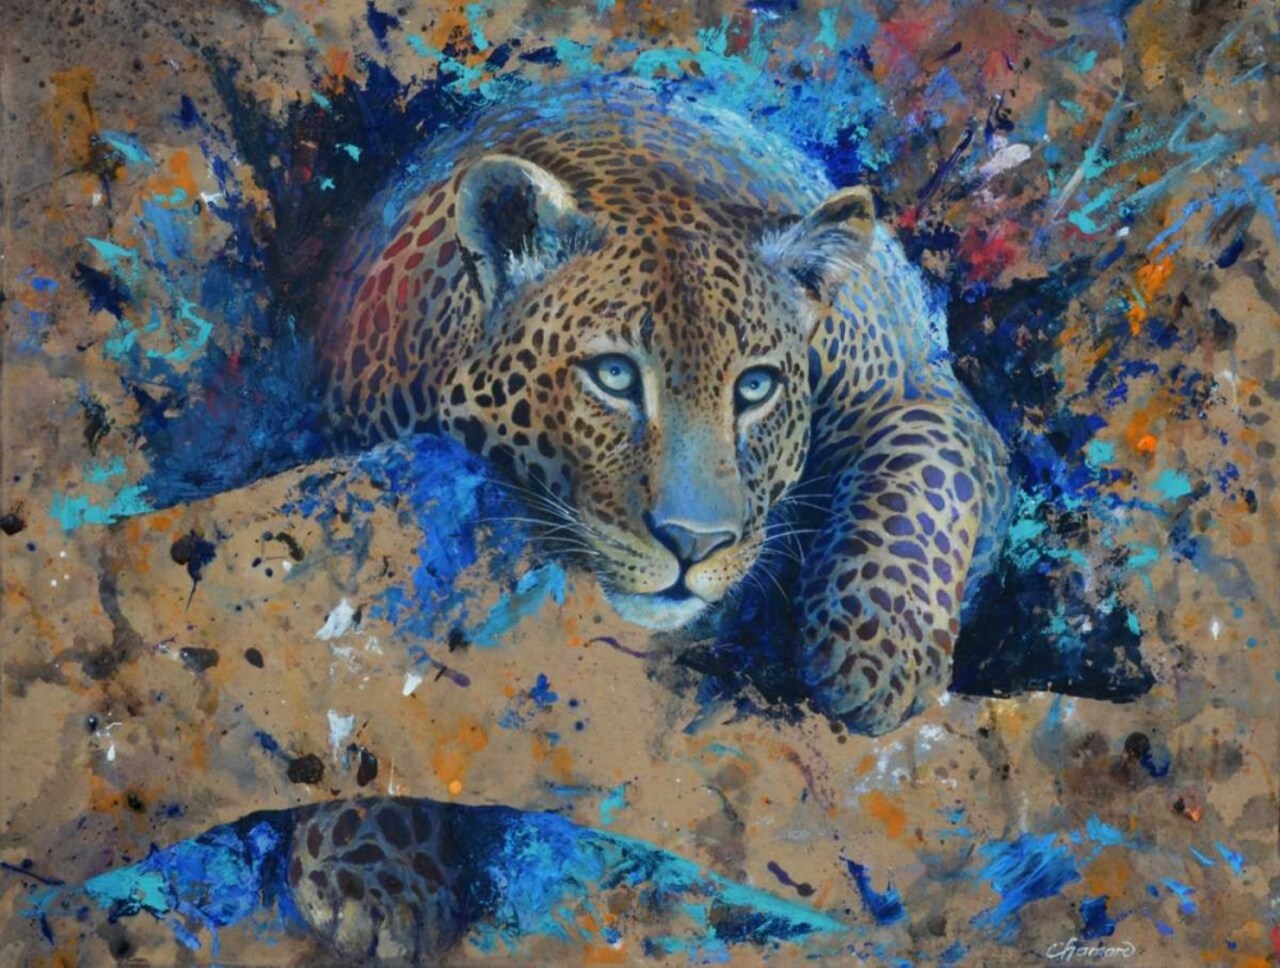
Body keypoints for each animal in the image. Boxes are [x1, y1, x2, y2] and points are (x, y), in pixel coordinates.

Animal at [314, 77, 1011, 739]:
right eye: (615, 376)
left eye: (755, 387)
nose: (693, 543)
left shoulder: (921, 387)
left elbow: (924, 471)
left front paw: (878, 659)